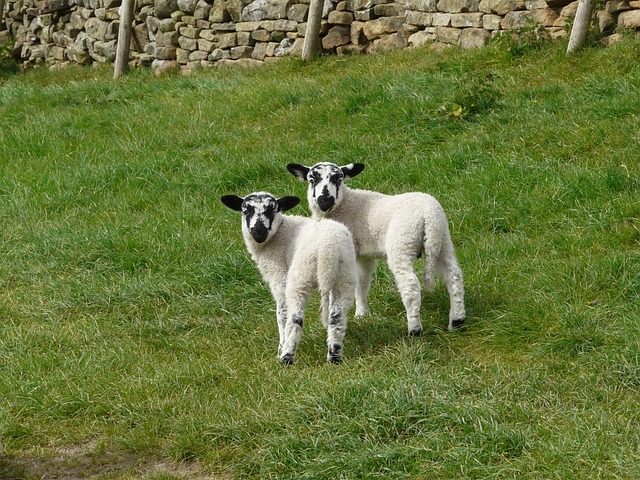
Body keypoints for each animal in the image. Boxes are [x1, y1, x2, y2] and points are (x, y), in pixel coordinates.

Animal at [221, 191, 357, 365]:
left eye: (272, 210)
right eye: (246, 210)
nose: (259, 232)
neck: (279, 233)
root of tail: (328, 252)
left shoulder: (279, 276)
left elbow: (281, 314)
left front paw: (280, 347)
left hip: (300, 276)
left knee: (296, 318)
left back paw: (286, 357)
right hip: (345, 277)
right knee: (336, 317)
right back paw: (334, 356)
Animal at [286, 162, 466, 336]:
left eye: (339, 179)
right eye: (312, 180)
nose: (325, 201)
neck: (345, 204)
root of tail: (430, 215)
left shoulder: (347, 252)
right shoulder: (364, 255)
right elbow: (362, 282)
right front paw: (361, 314)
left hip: (402, 242)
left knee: (411, 286)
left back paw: (414, 329)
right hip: (443, 241)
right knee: (454, 276)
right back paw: (457, 321)